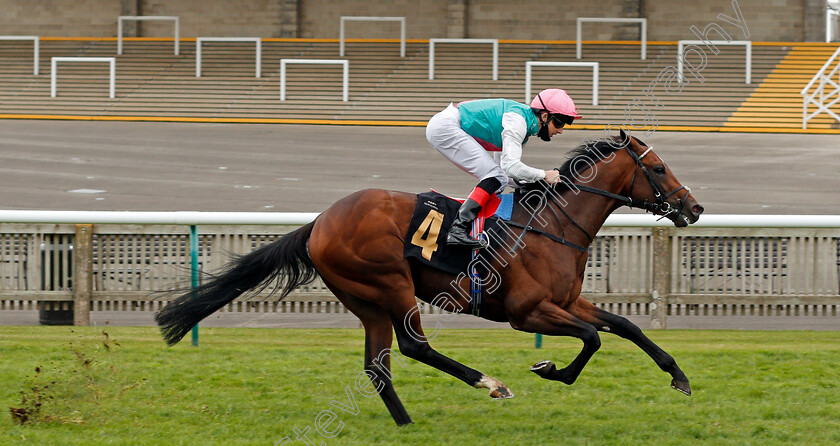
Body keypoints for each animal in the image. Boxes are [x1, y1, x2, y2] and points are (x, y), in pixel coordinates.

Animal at [156, 129, 704, 426]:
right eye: (658, 167)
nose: (694, 208)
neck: (551, 226)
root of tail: (320, 222)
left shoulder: (568, 302)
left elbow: (624, 327)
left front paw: (678, 376)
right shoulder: (528, 313)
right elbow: (593, 337)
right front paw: (551, 370)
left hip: (366, 300)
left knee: (377, 365)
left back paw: (406, 423)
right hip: (391, 283)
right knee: (413, 346)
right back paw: (490, 384)